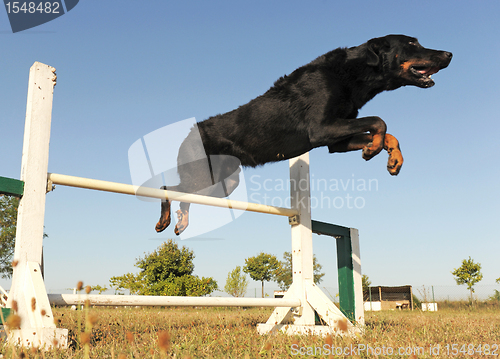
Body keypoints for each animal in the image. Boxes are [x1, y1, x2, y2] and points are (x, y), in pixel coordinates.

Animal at [156, 35, 454, 235]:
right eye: (412, 44)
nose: (450, 53)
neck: (352, 75)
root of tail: (189, 132)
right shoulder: (322, 129)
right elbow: (379, 121)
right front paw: (373, 149)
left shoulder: (336, 140)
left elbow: (388, 132)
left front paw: (393, 158)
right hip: (203, 175)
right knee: (169, 188)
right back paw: (165, 221)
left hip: (224, 182)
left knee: (185, 196)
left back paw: (180, 222)